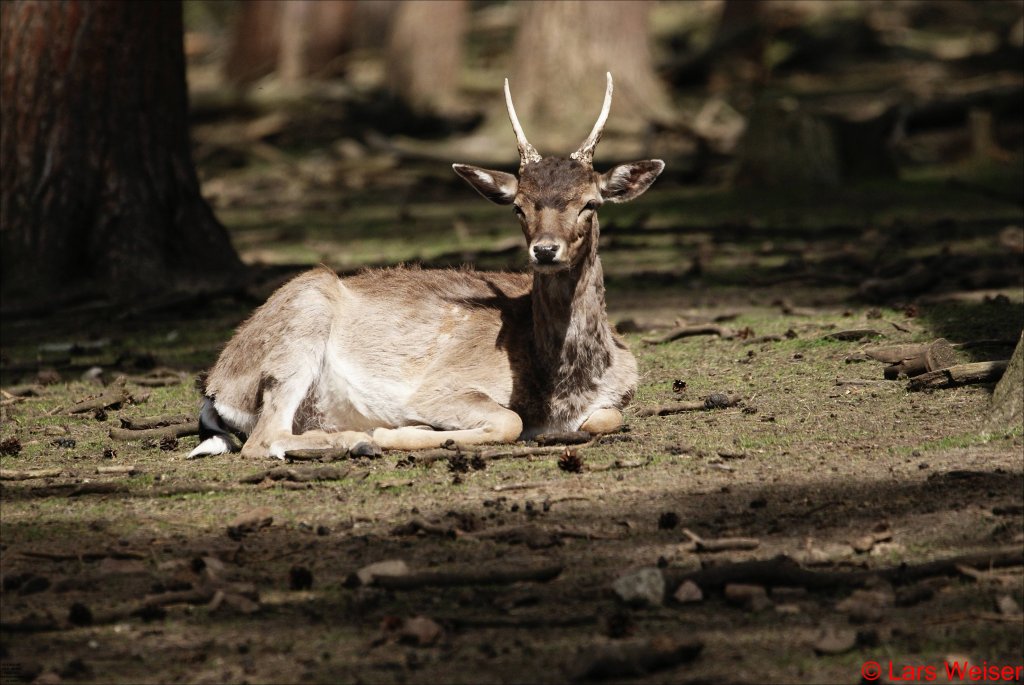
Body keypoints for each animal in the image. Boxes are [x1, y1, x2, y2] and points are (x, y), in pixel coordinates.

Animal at [190, 73, 663, 458]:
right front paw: (399, 432)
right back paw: (358, 440)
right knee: (261, 439)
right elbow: (510, 420)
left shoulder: (618, 394)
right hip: (302, 315)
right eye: (519, 206)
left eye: (590, 203)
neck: (563, 391)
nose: (545, 251)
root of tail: (216, 385)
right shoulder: (436, 388)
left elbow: (610, 417)